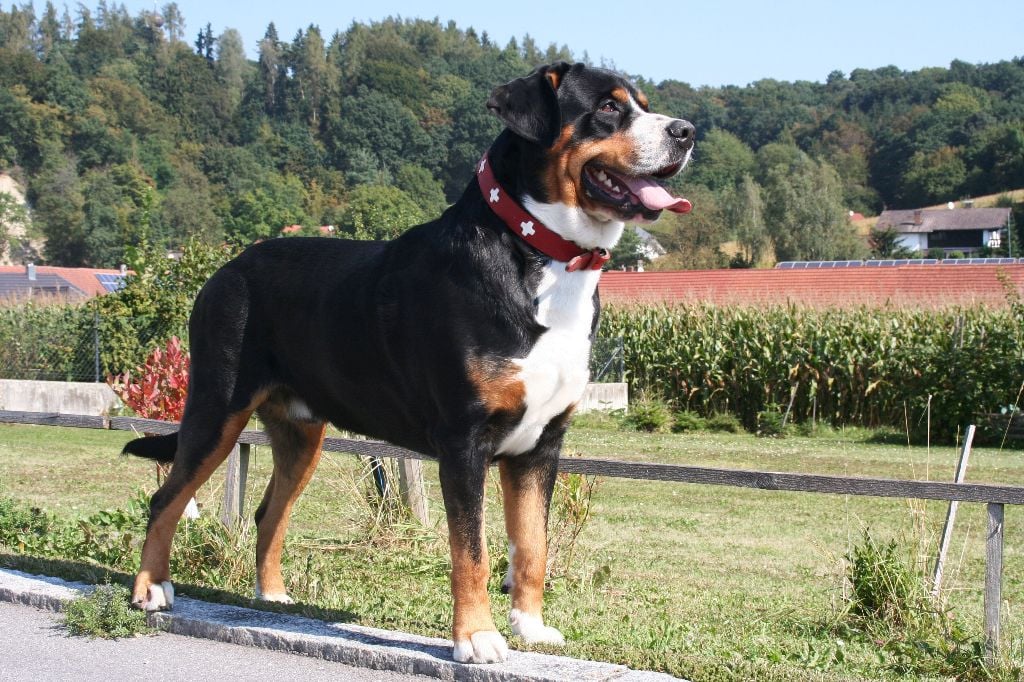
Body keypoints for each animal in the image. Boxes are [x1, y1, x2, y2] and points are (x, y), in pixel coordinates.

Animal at [121, 61, 694, 664]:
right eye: (608, 107)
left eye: (643, 104)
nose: (686, 131)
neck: (542, 259)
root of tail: (228, 267)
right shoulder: (465, 441)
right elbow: (472, 552)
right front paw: (478, 638)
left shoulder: (541, 445)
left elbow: (532, 546)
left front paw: (531, 629)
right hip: (217, 409)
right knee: (166, 498)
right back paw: (150, 590)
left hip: (301, 436)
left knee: (268, 512)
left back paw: (272, 597)